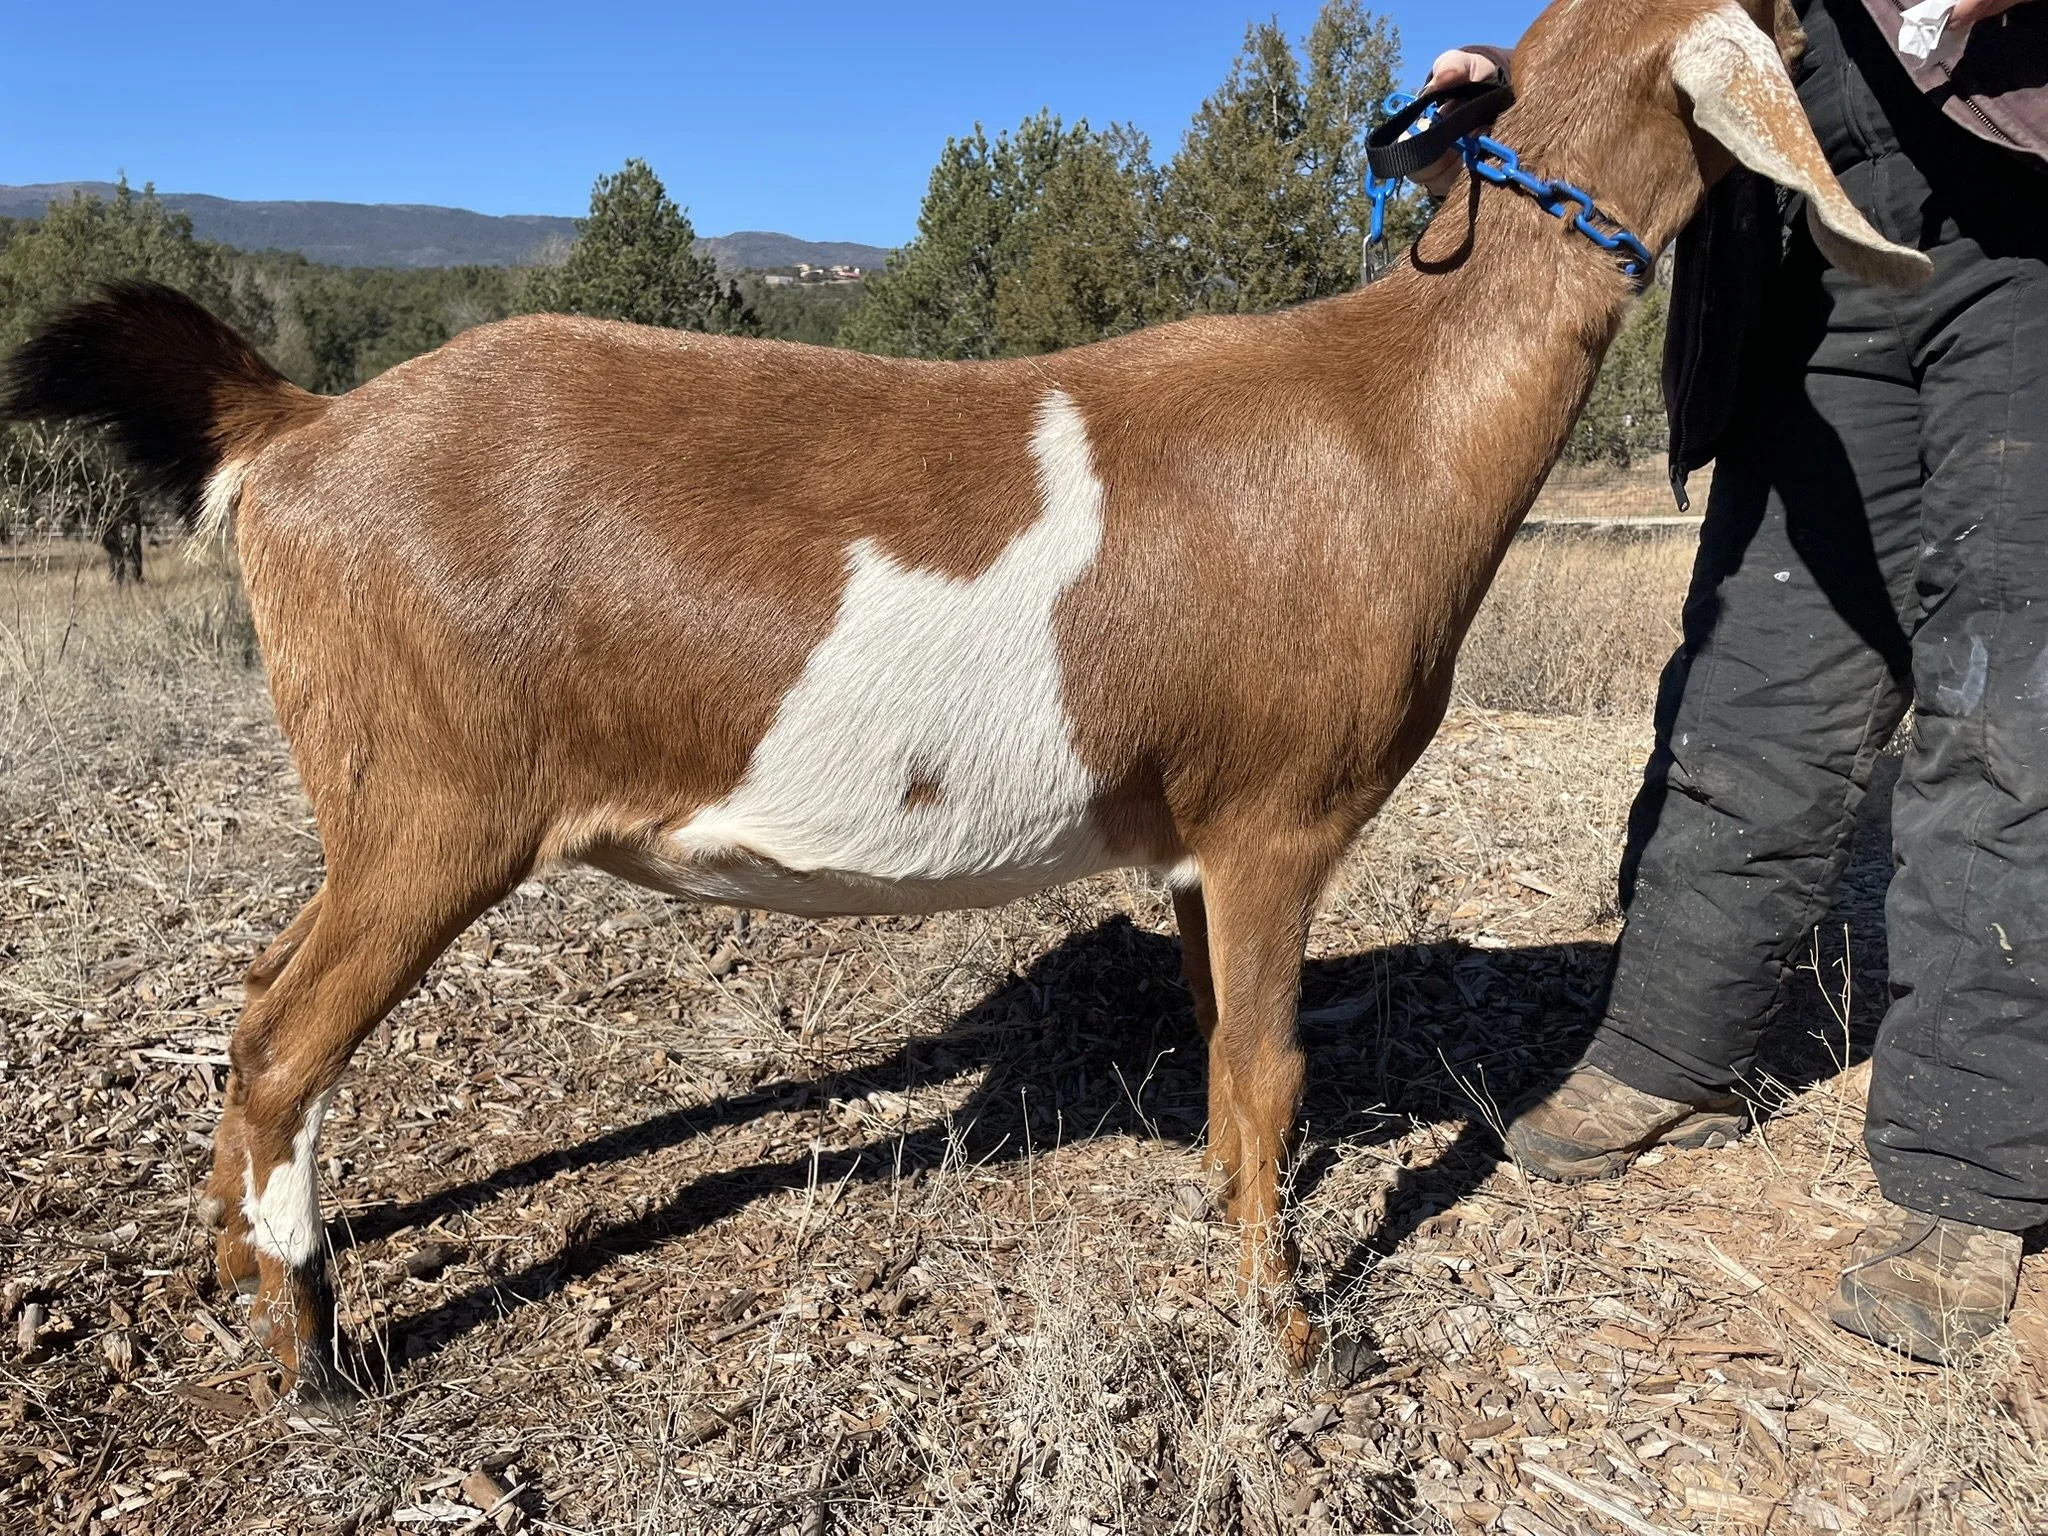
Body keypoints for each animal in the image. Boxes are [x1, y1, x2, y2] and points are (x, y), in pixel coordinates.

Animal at [4, 0, 1927, 1402]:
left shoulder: (1185, 837)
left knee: (261, 997)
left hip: (375, 796)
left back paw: (234, 1266)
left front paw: (1218, 1223)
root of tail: (294, 429)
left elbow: (1216, 1049)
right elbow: (1274, 1065)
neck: (1385, 412)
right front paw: (1289, 1332)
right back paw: (307, 1352)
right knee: (280, 1035)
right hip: (431, 799)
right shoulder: (1278, 815)